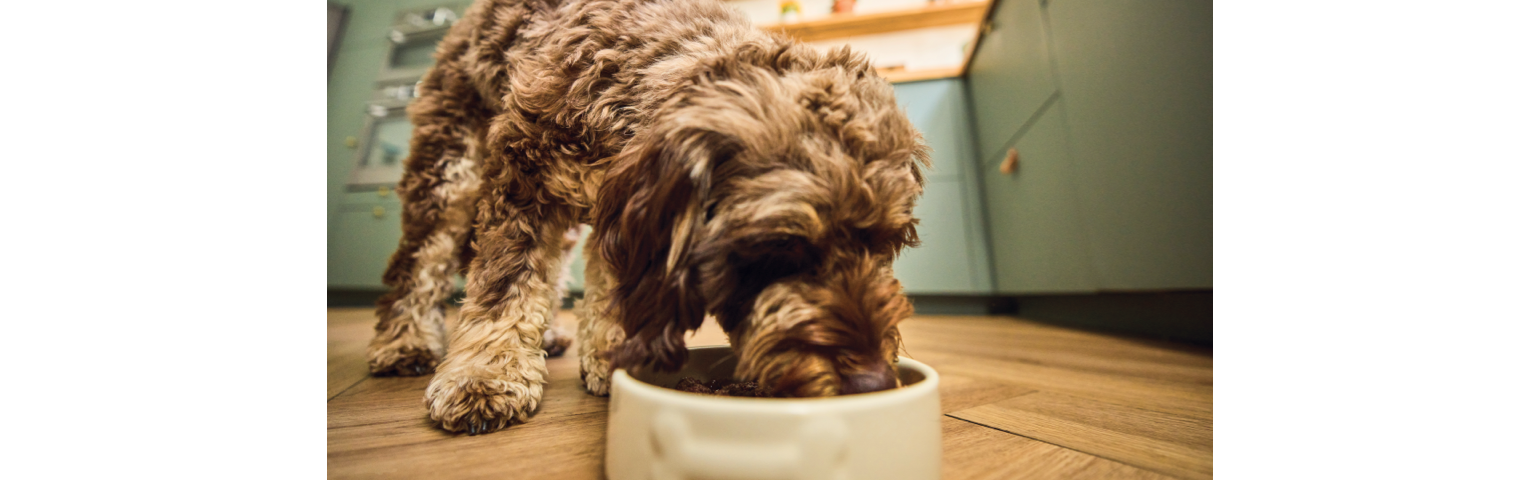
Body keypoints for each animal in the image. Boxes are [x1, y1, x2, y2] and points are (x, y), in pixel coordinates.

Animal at [366, 0, 930, 433]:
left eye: (888, 243)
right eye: (783, 244)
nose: (874, 381)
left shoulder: (621, 215)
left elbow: (609, 290)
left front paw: (608, 355)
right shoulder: (522, 179)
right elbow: (504, 287)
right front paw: (485, 376)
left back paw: (547, 337)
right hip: (449, 170)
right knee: (418, 263)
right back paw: (404, 343)